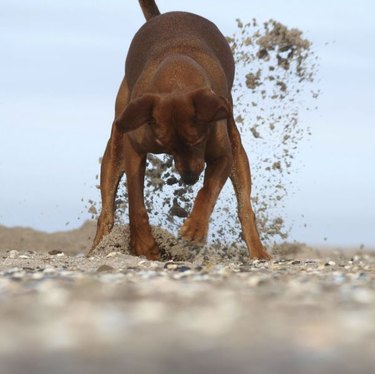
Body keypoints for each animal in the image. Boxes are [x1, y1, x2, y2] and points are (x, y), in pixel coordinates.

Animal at [91, 0, 274, 260]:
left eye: (198, 140)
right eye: (167, 147)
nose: (188, 178)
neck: (177, 76)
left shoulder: (223, 155)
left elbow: (208, 191)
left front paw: (195, 228)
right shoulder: (134, 149)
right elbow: (136, 203)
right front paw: (144, 245)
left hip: (236, 147)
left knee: (245, 207)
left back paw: (258, 252)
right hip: (117, 141)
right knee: (106, 211)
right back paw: (96, 250)